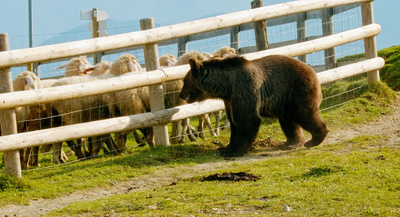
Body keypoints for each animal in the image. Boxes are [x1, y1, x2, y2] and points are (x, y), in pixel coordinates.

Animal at [178, 53, 328, 156]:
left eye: (184, 81)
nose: (180, 95)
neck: (227, 86)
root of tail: (311, 70)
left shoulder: (245, 89)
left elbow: (247, 119)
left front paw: (234, 151)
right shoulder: (230, 101)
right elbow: (234, 122)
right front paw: (226, 147)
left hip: (298, 90)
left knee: (304, 113)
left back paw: (315, 139)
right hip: (283, 99)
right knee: (288, 121)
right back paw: (291, 143)